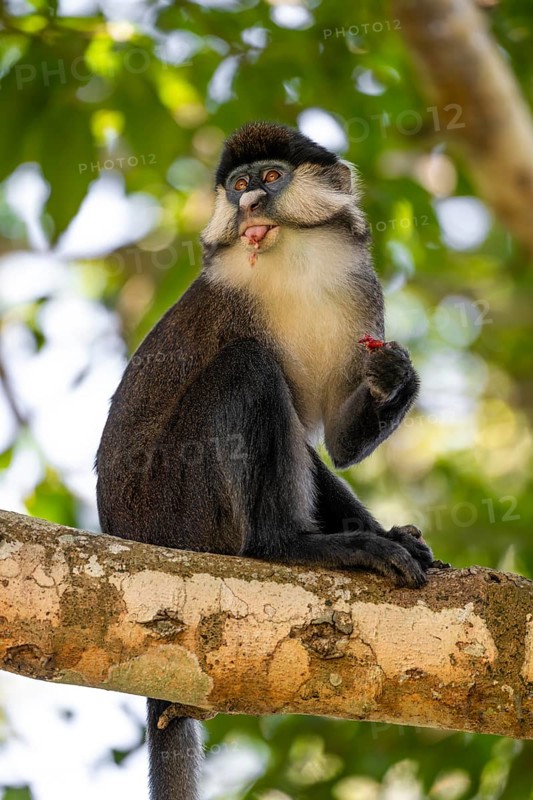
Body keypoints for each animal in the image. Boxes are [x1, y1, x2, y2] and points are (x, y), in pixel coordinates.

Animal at [95, 121, 433, 800]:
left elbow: (334, 444)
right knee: (249, 366)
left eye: (270, 178)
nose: (250, 204)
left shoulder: (362, 296)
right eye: (237, 185)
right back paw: (290, 546)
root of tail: (125, 531)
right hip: (182, 509)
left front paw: (396, 379)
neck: (294, 263)